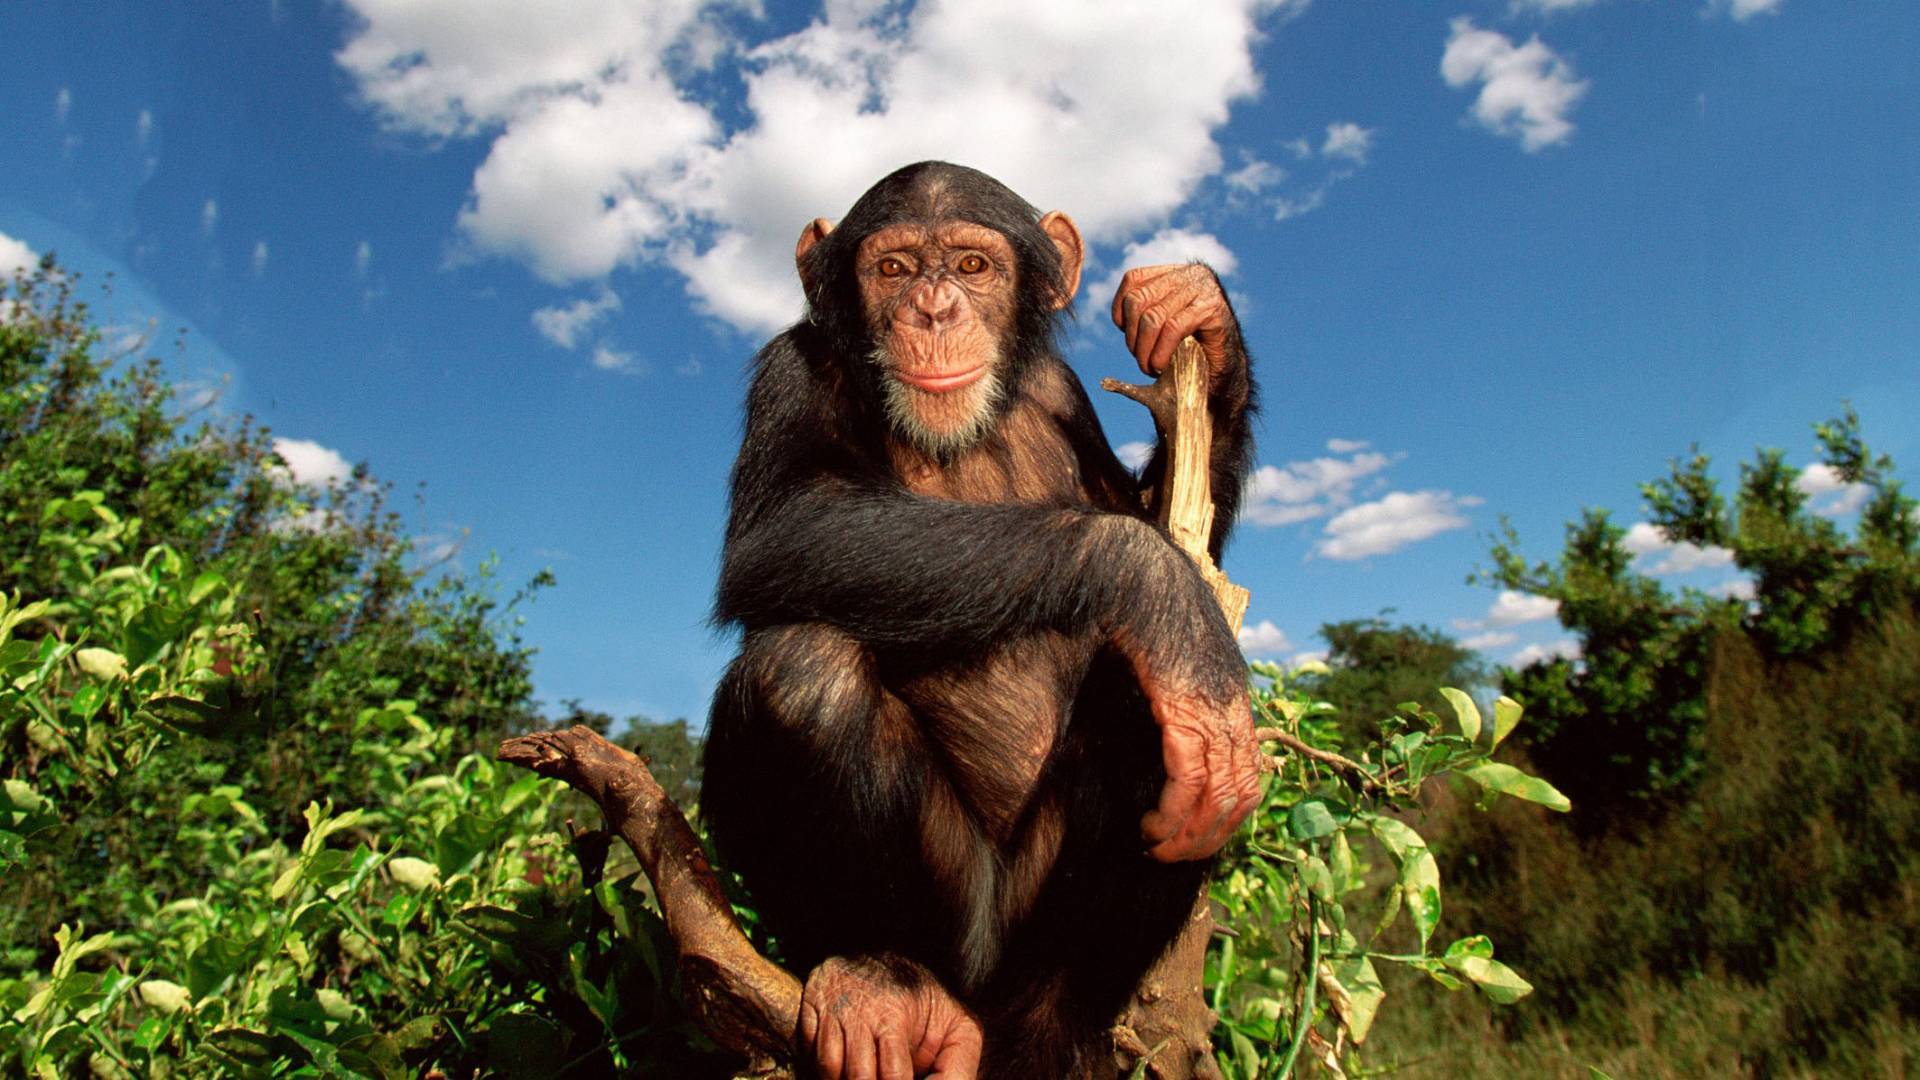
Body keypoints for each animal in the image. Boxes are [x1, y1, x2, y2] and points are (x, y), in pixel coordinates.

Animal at [706, 161, 1259, 1076]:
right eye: (894, 269)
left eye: (972, 265)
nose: (933, 311)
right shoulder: (791, 371)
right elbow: (780, 534)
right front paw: (1159, 597)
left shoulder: (1064, 396)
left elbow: (1177, 528)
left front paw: (1201, 321)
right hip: (958, 920)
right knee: (804, 673)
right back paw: (882, 983)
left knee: (1169, 739)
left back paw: (1054, 1024)